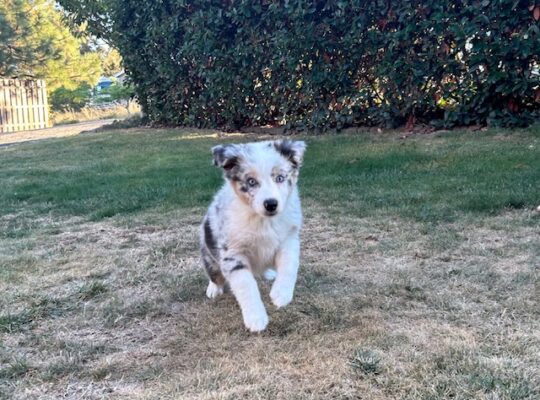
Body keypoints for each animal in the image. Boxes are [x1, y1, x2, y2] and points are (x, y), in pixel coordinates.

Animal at [200, 139, 306, 332]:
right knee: (214, 273)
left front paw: (281, 294)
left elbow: (289, 265)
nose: (271, 204)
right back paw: (213, 289)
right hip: (208, 251)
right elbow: (246, 285)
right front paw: (256, 319)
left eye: (280, 178)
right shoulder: (232, 254)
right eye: (251, 181)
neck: (263, 220)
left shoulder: (289, 238)